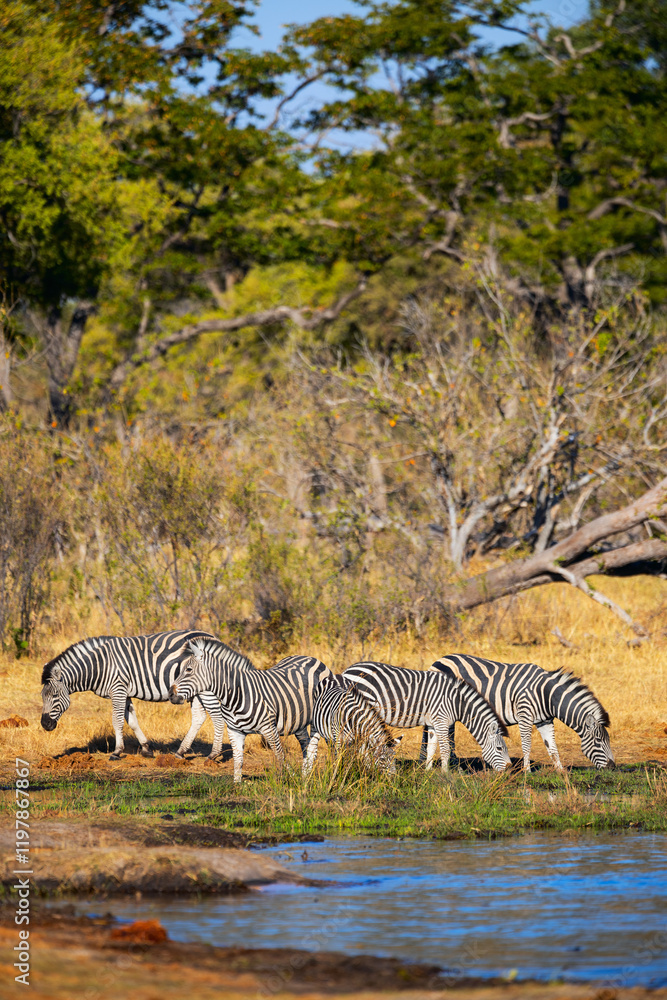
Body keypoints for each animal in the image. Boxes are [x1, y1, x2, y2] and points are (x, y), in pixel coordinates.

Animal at [40, 630, 227, 760]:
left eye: (55, 695)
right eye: (42, 696)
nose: (44, 724)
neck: (99, 665)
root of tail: (212, 636)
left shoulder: (118, 690)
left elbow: (117, 721)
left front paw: (116, 752)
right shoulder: (125, 693)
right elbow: (132, 721)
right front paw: (146, 749)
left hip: (206, 688)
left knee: (217, 716)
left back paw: (214, 754)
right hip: (196, 690)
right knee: (199, 717)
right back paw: (181, 752)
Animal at [168, 641, 333, 781]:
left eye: (188, 670)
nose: (170, 694)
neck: (236, 695)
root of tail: (311, 658)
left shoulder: (269, 728)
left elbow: (280, 755)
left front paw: (288, 780)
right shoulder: (234, 731)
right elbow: (238, 761)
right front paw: (237, 786)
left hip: (320, 717)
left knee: (317, 746)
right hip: (297, 720)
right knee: (306, 744)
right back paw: (306, 775)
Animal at [342, 661, 511, 771]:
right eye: (499, 748)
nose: (509, 768)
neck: (457, 702)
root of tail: (348, 669)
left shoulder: (433, 724)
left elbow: (431, 748)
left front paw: (428, 773)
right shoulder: (442, 721)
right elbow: (445, 749)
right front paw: (445, 774)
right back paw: (365, 767)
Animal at [428, 654, 614, 771]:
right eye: (599, 741)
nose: (612, 766)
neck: (546, 694)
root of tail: (440, 659)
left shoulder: (545, 721)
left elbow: (552, 746)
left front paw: (560, 771)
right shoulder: (525, 715)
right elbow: (527, 744)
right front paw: (526, 771)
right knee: (448, 737)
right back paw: (453, 766)